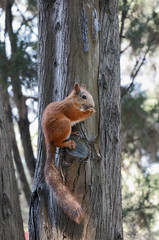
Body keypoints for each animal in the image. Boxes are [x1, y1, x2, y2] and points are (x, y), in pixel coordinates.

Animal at [41, 82, 95, 223]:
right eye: (84, 96)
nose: (92, 105)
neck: (72, 101)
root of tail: (48, 139)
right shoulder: (69, 110)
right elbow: (77, 116)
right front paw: (89, 112)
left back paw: (74, 133)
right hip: (64, 125)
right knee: (57, 143)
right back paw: (67, 143)